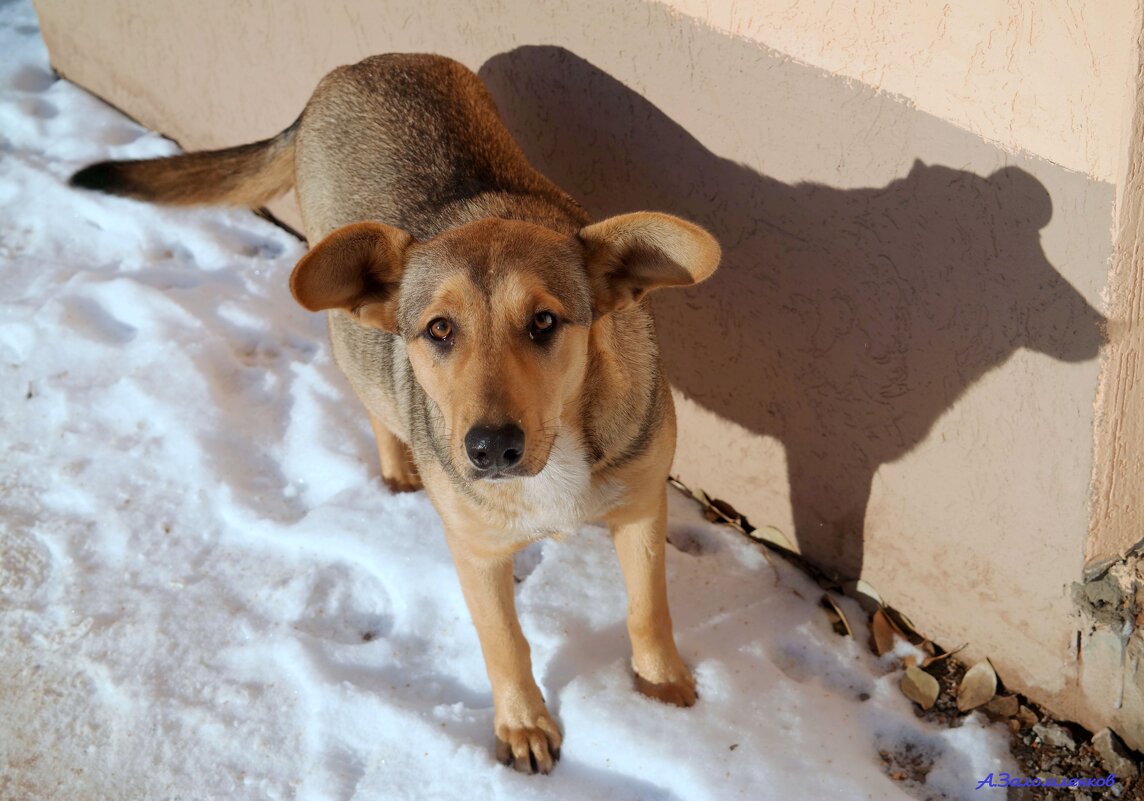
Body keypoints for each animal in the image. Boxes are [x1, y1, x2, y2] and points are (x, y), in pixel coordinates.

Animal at [71, 53, 718, 773]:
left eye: (545, 321)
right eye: (439, 329)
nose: (491, 449)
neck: (559, 454)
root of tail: (352, 69)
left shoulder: (641, 507)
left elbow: (647, 608)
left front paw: (659, 684)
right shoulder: (476, 553)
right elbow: (504, 641)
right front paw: (523, 722)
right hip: (347, 328)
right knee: (375, 399)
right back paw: (398, 463)